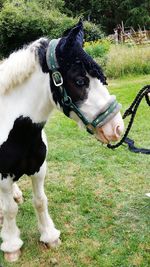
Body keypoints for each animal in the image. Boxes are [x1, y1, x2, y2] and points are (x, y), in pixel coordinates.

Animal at [0, 19, 124, 262]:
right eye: (80, 81)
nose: (117, 128)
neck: (19, 132)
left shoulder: (39, 169)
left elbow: (40, 201)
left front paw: (49, 236)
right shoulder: (2, 176)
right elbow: (9, 210)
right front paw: (11, 246)